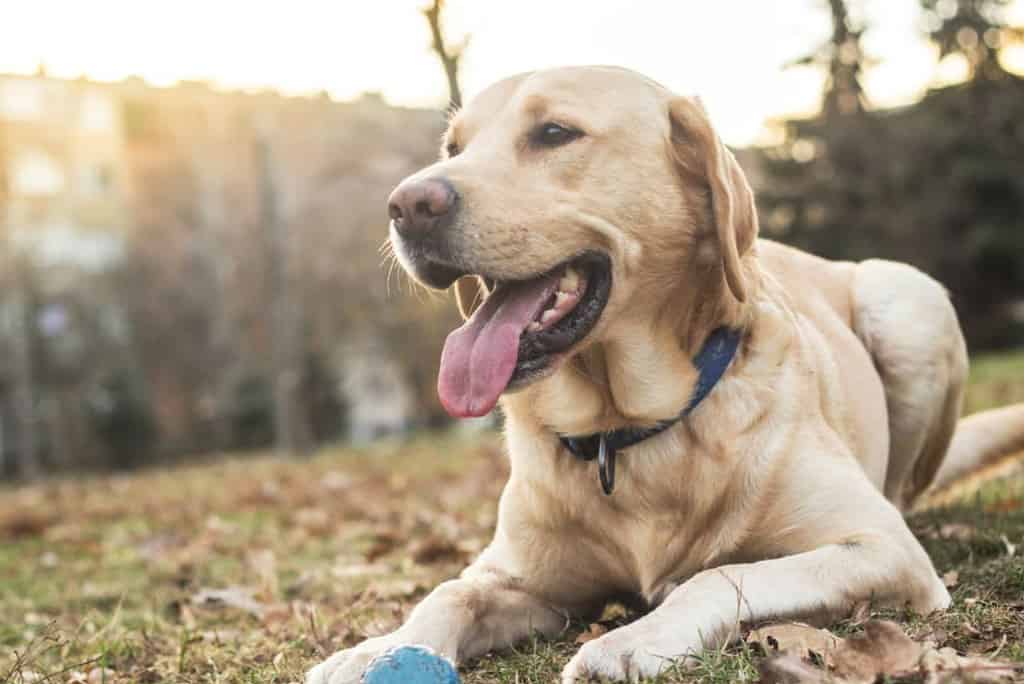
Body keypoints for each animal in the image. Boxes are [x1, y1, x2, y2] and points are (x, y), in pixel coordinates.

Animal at [307, 65, 1024, 684]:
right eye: (453, 146)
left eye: (555, 133)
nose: (407, 205)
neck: (620, 428)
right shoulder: (520, 578)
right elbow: (449, 592)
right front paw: (376, 648)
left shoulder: (880, 548)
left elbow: (721, 575)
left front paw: (633, 639)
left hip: (906, 297)